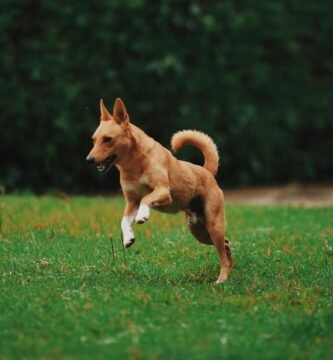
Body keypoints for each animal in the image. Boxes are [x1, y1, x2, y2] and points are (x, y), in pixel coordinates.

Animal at [85, 97, 232, 282]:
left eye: (107, 139)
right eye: (93, 139)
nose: (89, 160)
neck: (134, 165)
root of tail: (206, 171)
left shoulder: (163, 191)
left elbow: (146, 199)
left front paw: (143, 215)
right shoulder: (131, 202)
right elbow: (124, 221)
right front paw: (128, 238)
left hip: (213, 224)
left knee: (223, 252)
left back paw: (222, 279)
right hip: (199, 230)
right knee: (226, 245)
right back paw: (230, 270)